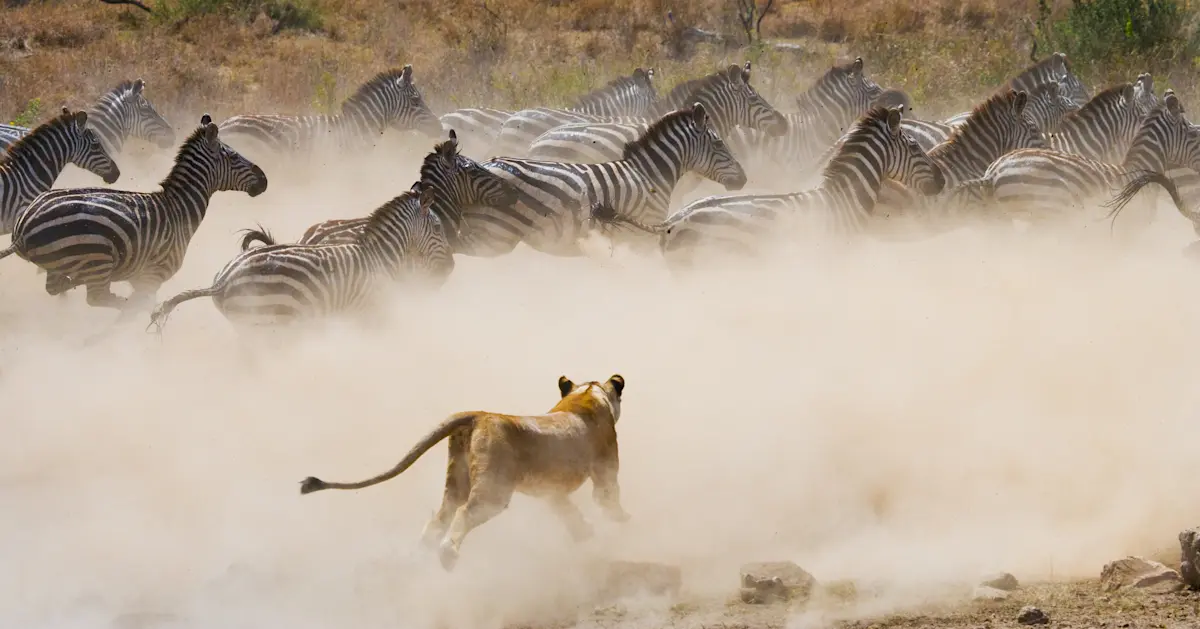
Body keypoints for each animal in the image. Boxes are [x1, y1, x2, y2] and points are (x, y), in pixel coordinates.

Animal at [0, 114, 268, 319]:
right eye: (233, 157)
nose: (264, 180)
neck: (179, 208)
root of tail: (23, 228)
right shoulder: (153, 276)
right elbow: (137, 308)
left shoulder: (141, 279)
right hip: (97, 258)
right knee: (99, 298)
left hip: (60, 265)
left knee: (56, 288)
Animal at [147, 185, 451, 333]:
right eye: (438, 228)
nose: (451, 266)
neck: (381, 257)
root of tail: (222, 281)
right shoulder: (369, 312)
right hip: (270, 321)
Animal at [299, 373, 630, 571]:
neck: (587, 394)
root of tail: (478, 415)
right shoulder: (605, 471)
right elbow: (608, 500)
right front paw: (624, 522)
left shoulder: (551, 491)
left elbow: (568, 512)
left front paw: (585, 535)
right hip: (493, 491)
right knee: (463, 514)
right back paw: (447, 556)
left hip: (456, 480)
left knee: (439, 518)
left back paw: (422, 555)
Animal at [461, 102, 748, 258]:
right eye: (719, 144)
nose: (744, 180)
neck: (649, 175)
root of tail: (485, 164)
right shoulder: (641, 235)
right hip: (494, 234)